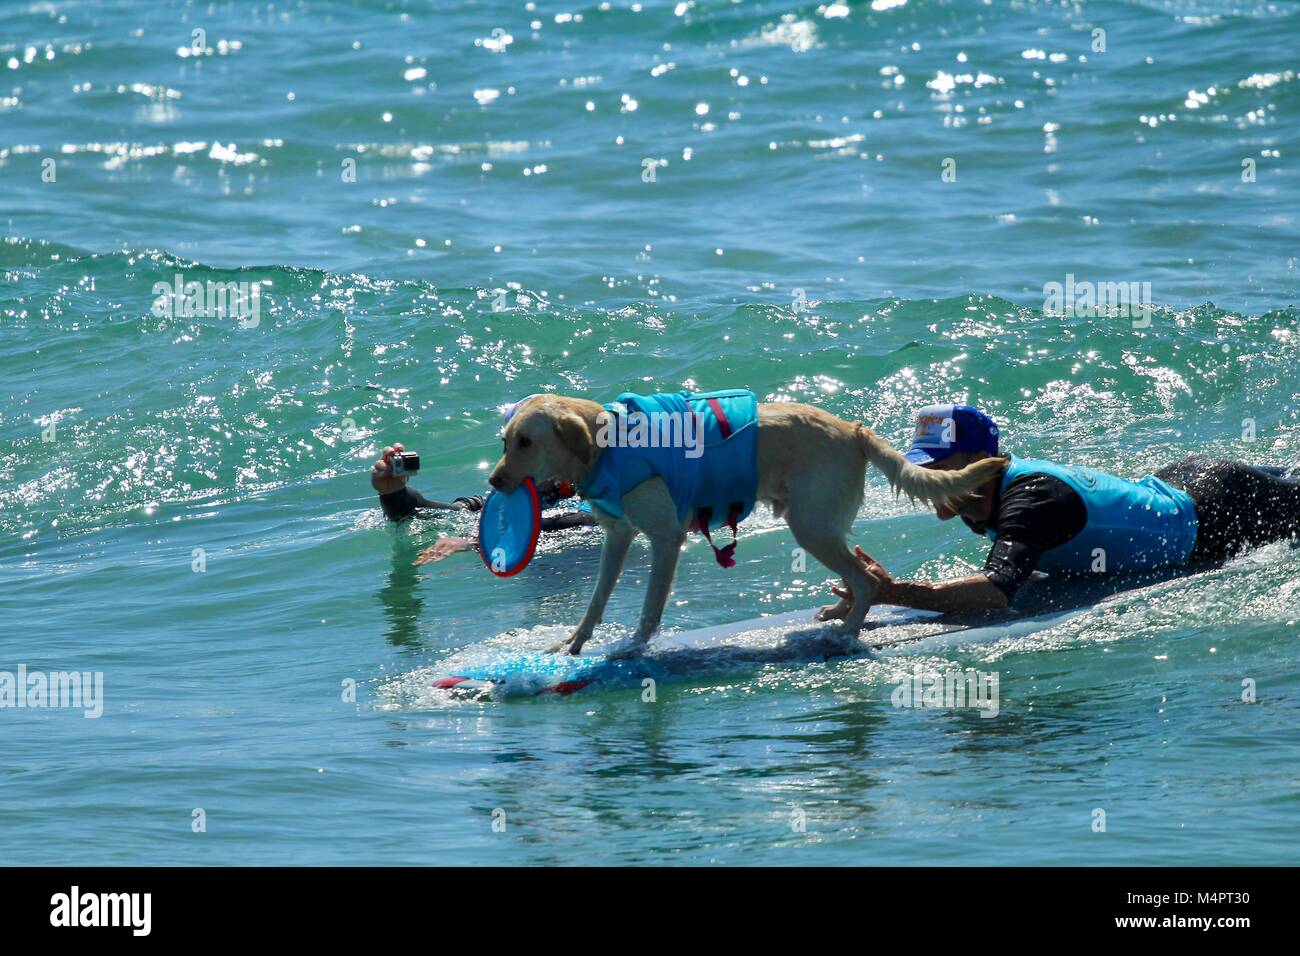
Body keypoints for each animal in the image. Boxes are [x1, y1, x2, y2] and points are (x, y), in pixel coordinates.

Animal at [488, 392, 1003, 655]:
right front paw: (572, 644)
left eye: (526, 442)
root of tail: (854, 430)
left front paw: (632, 648)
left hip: (809, 527)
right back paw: (840, 615)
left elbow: (650, 608)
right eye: (505, 440)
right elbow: (595, 602)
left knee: (865, 580)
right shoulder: (617, 538)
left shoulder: (665, 540)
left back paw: (847, 634)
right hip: (820, 527)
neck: (610, 447)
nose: (493, 481)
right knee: (860, 577)